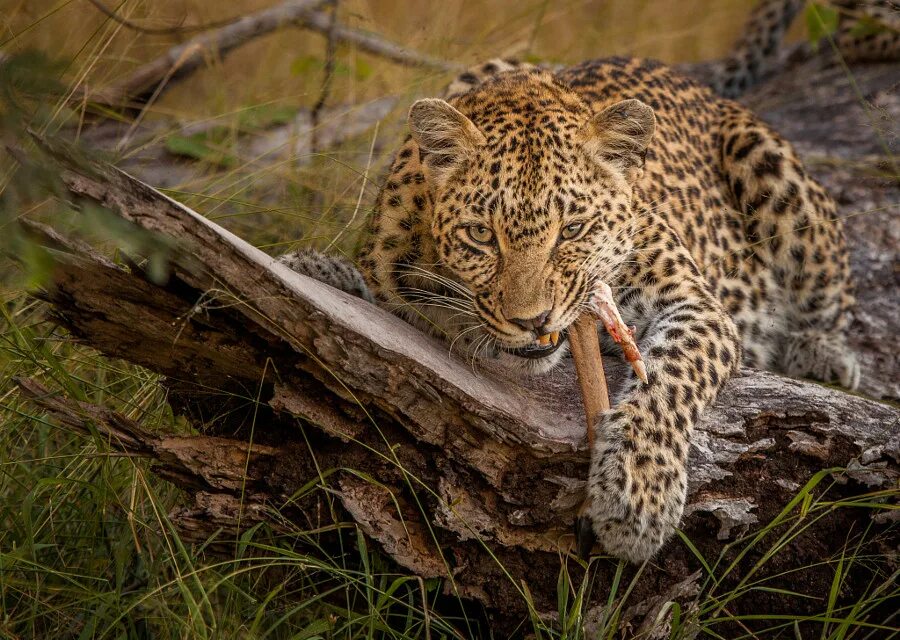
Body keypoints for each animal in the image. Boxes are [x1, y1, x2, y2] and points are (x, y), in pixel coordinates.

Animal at [278, 1, 896, 560]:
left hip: (774, 171)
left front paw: (639, 497)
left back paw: (821, 352)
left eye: (572, 229)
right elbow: (387, 294)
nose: (534, 320)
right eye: (481, 235)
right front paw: (320, 269)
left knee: (830, 293)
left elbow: (668, 380)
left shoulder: (697, 305)